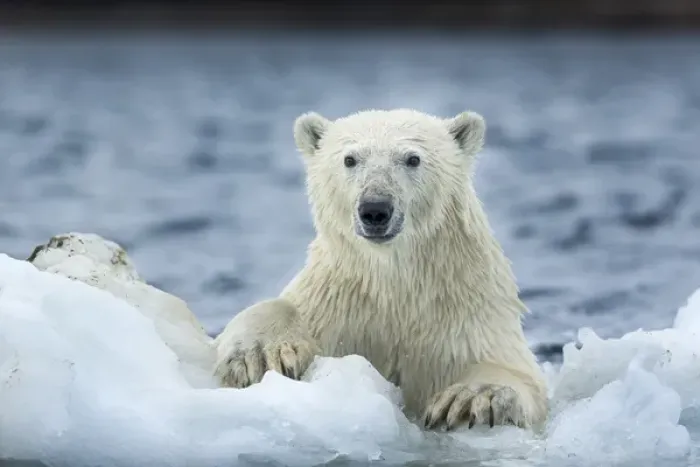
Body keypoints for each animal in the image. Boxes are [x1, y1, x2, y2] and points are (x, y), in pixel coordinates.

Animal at [214, 108, 549, 430]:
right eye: (350, 159)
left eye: (412, 158)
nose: (375, 209)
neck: (393, 283)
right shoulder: (335, 304)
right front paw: (259, 354)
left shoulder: (467, 318)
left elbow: (513, 371)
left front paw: (471, 397)